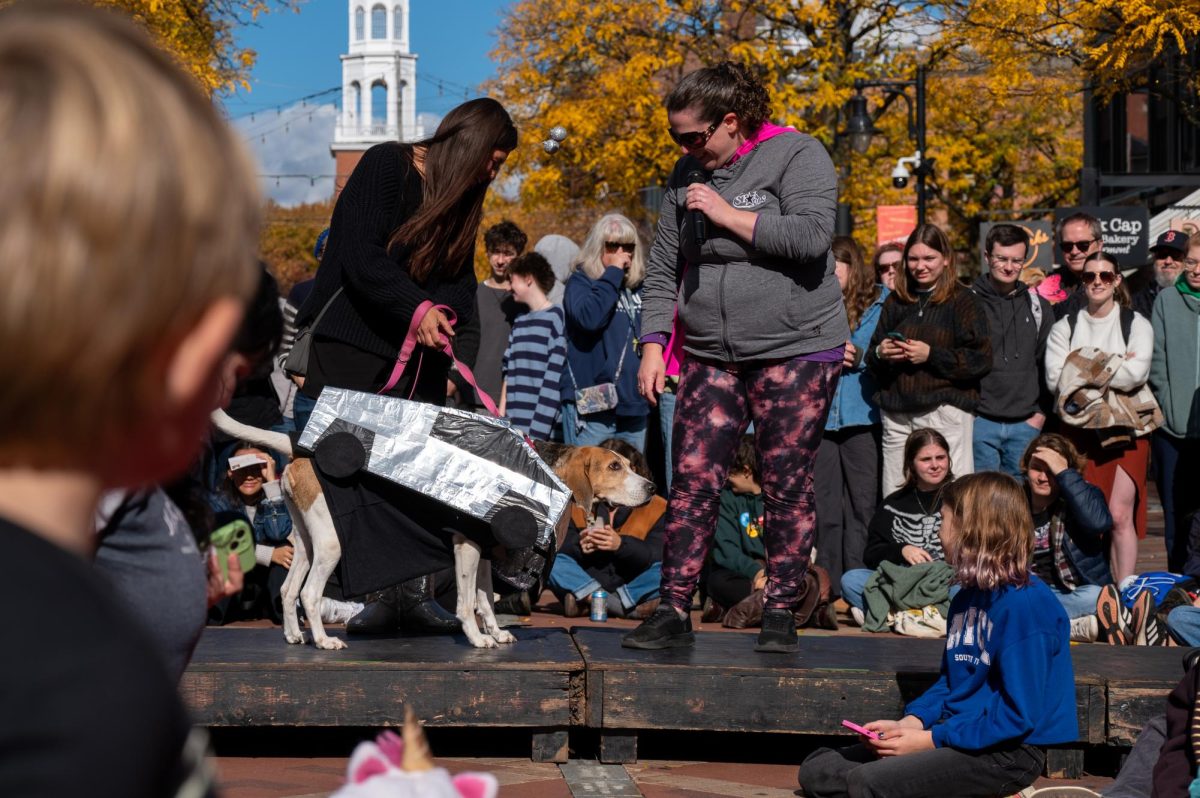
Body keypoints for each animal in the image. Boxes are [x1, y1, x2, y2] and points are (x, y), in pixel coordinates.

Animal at [210, 410, 652, 648]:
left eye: (627, 465)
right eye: (615, 466)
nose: (650, 487)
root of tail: (304, 451)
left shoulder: (484, 553)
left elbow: (485, 600)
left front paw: (496, 634)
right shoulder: (467, 547)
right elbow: (466, 603)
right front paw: (477, 639)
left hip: (304, 542)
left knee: (287, 590)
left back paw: (293, 636)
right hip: (331, 546)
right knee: (308, 594)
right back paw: (323, 640)